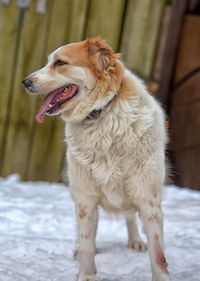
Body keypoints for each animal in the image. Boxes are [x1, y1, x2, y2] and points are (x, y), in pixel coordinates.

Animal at [23, 37, 170, 280]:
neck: (101, 114)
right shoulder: (85, 199)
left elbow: (158, 257)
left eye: (60, 63)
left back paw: (136, 241)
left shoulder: (149, 200)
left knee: (130, 217)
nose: (25, 82)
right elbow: (86, 245)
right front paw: (87, 275)